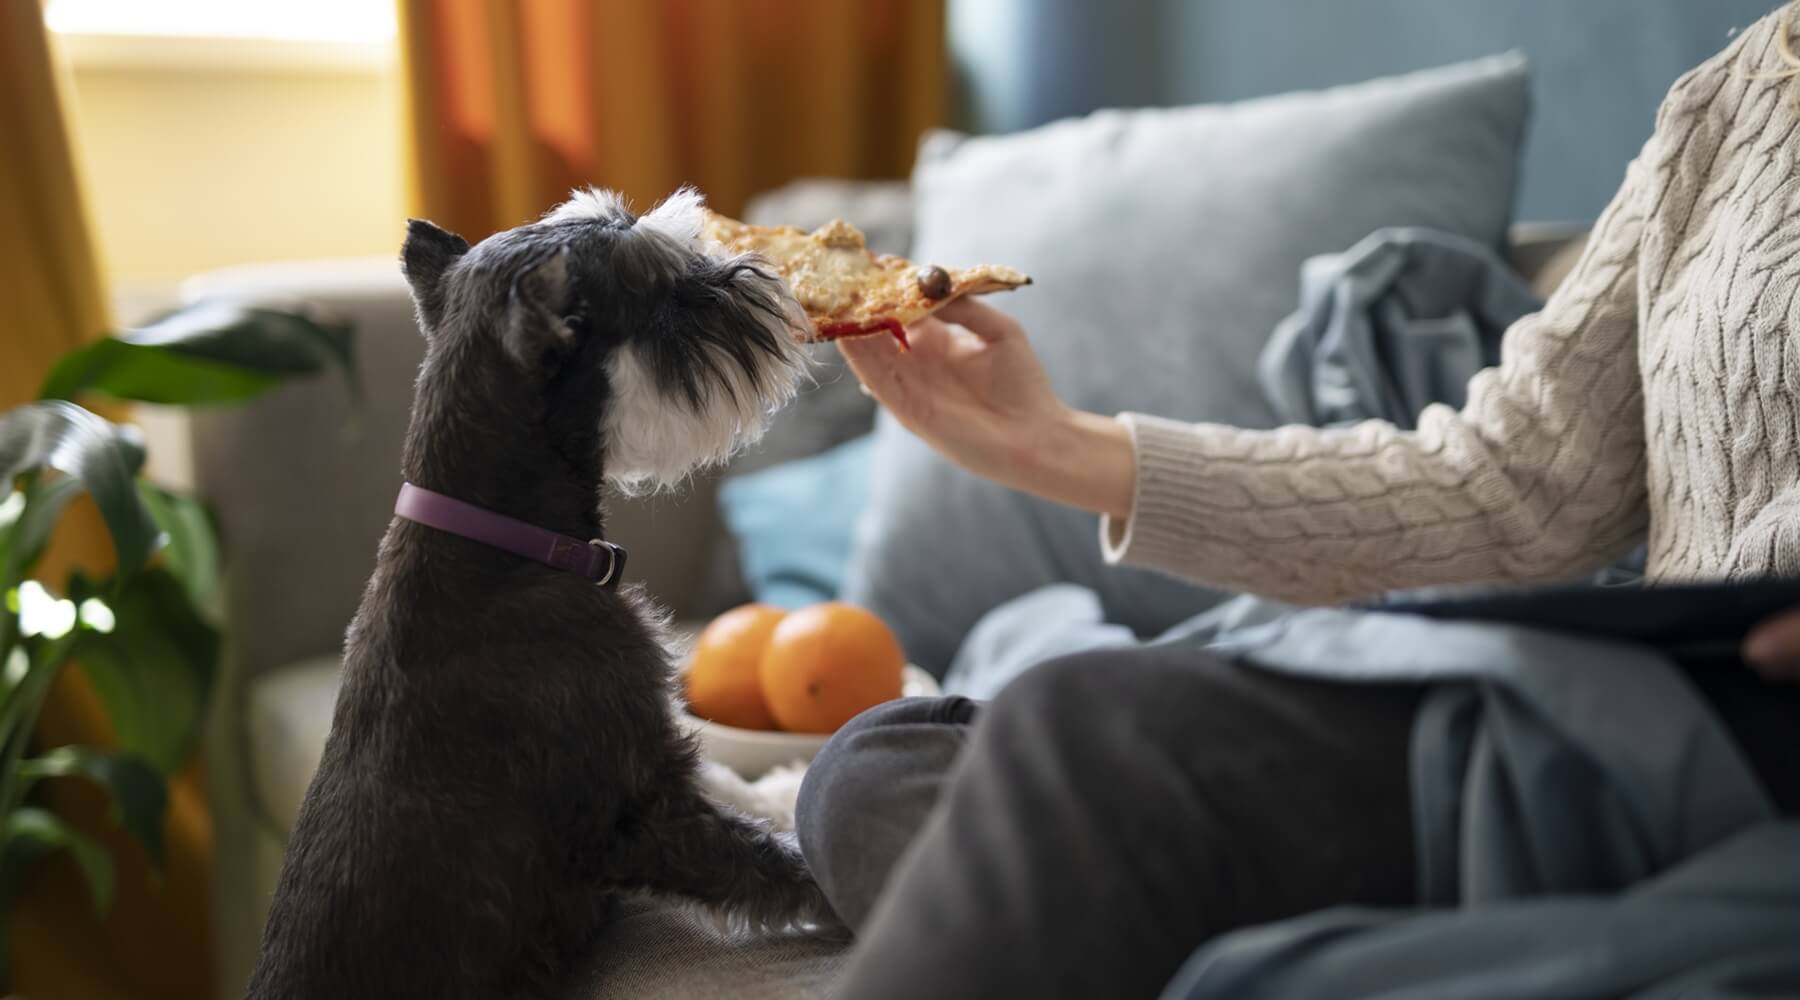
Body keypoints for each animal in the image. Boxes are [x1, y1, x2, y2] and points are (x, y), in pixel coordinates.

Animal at [243, 187, 838, 1000]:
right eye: (659, 293)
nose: (762, 276)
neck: (503, 546)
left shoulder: (656, 754)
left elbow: (734, 784)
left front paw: (787, 785)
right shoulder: (638, 812)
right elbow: (781, 863)